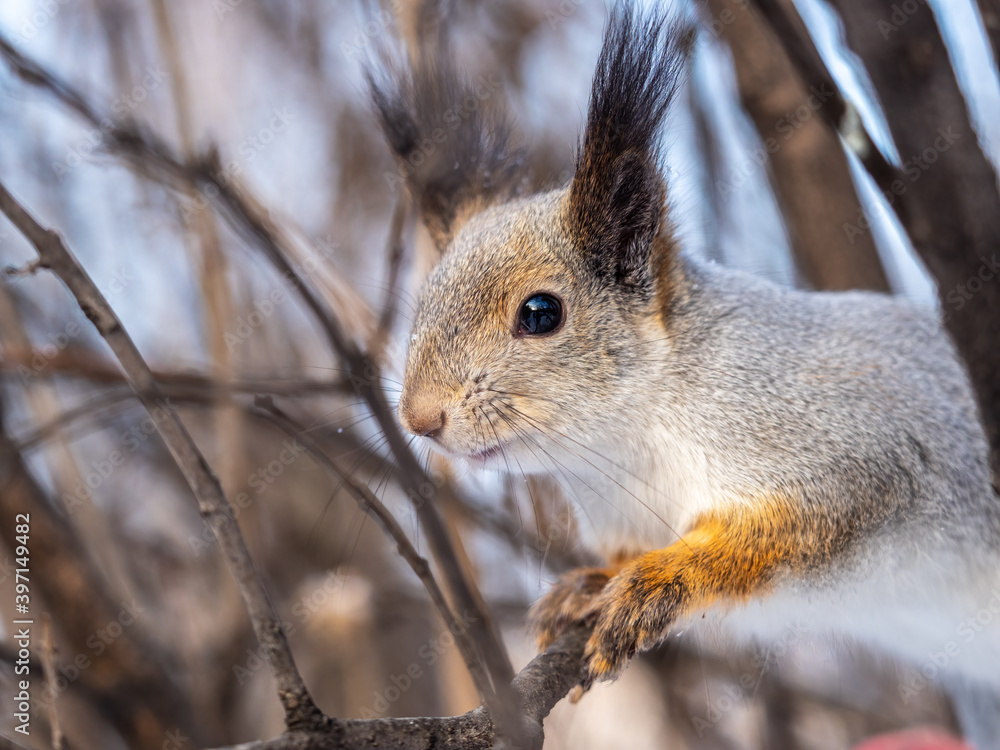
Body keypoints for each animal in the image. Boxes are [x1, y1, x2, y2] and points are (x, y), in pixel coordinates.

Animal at [367, 3, 1000, 747]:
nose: (420, 417)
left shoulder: (858, 453)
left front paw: (661, 578)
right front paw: (591, 582)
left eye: (540, 313)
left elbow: (789, 531)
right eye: (424, 298)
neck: (628, 446)